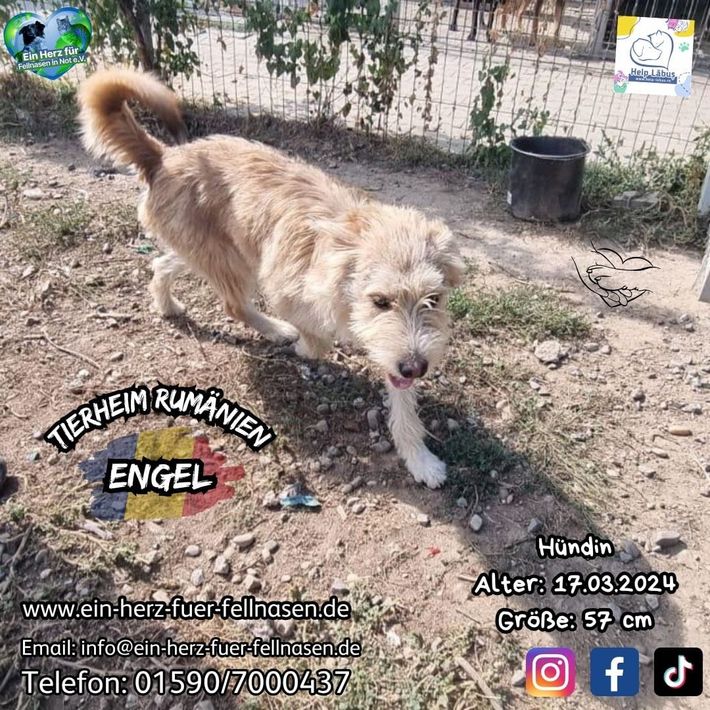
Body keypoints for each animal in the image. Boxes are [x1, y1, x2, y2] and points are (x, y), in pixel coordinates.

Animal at [77, 69, 464, 489]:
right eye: (380, 301)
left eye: (433, 300)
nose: (417, 367)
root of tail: (164, 157)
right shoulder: (285, 288)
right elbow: (317, 337)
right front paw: (305, 346)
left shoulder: (394, 348)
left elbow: (401, 395)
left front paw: (419, 458)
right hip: (237, 262)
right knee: (234, 304)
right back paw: (276, 330)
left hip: (212, 251)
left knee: (163, 265)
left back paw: (166, 303)